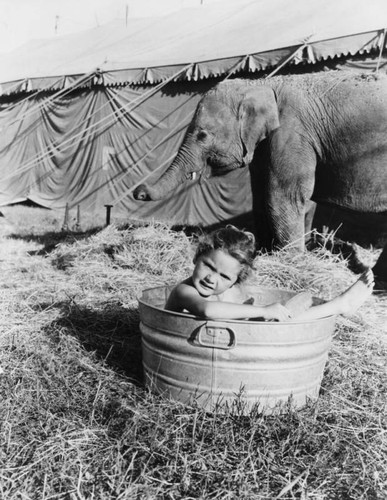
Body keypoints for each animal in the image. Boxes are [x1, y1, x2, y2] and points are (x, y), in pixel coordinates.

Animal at [135, 72, 387, 280]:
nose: (139, 191)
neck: (260, 85)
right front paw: (260, 254)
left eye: (203, 135)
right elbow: (262, 195)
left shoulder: (291, 133)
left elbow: (283, 196)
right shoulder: (266, 144)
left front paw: (293, 264)